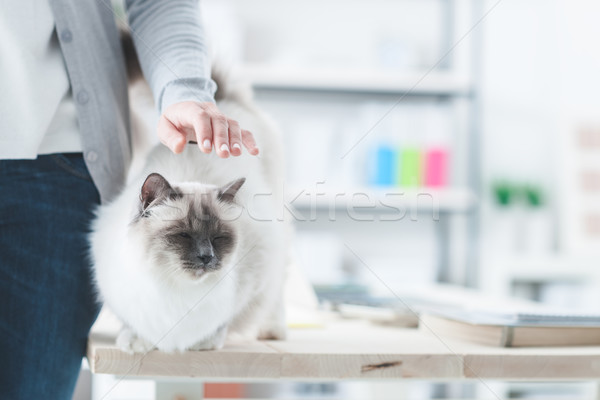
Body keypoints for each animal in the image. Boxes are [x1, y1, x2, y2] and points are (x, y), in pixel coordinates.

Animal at [89, 36, 290, 354]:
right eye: (183, 235)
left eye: (219, 238)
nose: (207, 257)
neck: (175, 290)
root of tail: (222, 97)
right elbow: (132, 323)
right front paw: (136, 342)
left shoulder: (254, 276)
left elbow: (222, 322)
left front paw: (204, 343)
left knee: (278, 288)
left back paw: (272, 332)